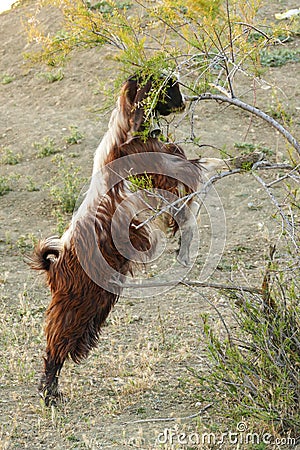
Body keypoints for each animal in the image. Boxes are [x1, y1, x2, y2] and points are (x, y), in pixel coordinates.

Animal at [29, 73, 229, 404]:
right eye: (168, 86)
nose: (183, 101)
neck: (127, 133)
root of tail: (55, 264)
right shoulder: (170, 173)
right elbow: (208, 167)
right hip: (77, 301)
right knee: (56, 343)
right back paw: (50, 391)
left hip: (97, 300)